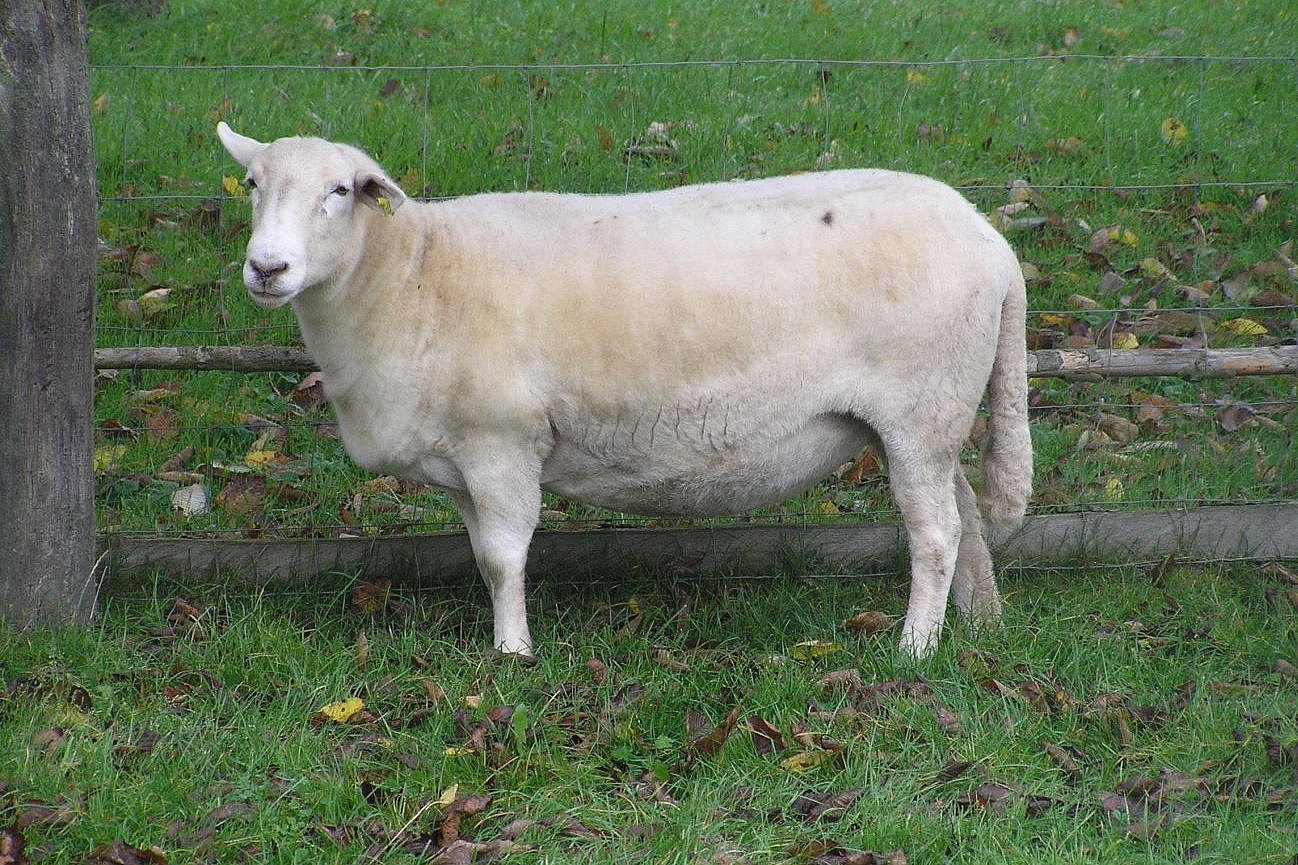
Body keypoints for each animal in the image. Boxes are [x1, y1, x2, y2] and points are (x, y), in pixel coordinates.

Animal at [220, 121, 1033, 657]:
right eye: (254, 184)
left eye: (340, 191)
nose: (266, 269)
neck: (415, 275)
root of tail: (992, 242)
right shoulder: (462, 460)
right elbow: (482, 555)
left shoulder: (503, 442)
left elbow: (505, 556)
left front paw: (512, 657)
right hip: (931, 414)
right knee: (965, 514)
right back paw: (984, 624)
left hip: (919, 407)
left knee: (935, 533)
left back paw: (915, 649)